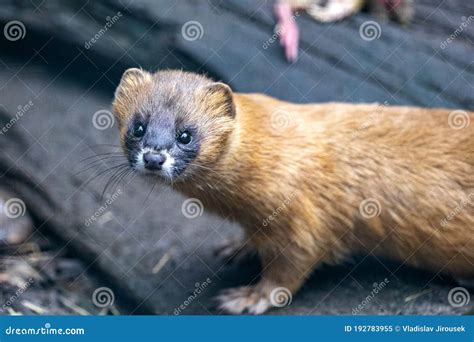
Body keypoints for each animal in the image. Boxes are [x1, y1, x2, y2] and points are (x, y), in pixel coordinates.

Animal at [114, 69, 474, 316]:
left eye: (186, 134)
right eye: (138, 127)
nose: (153, 158)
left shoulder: (301, 216)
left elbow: (291, 267)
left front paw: (248, 298)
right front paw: (239, 247)